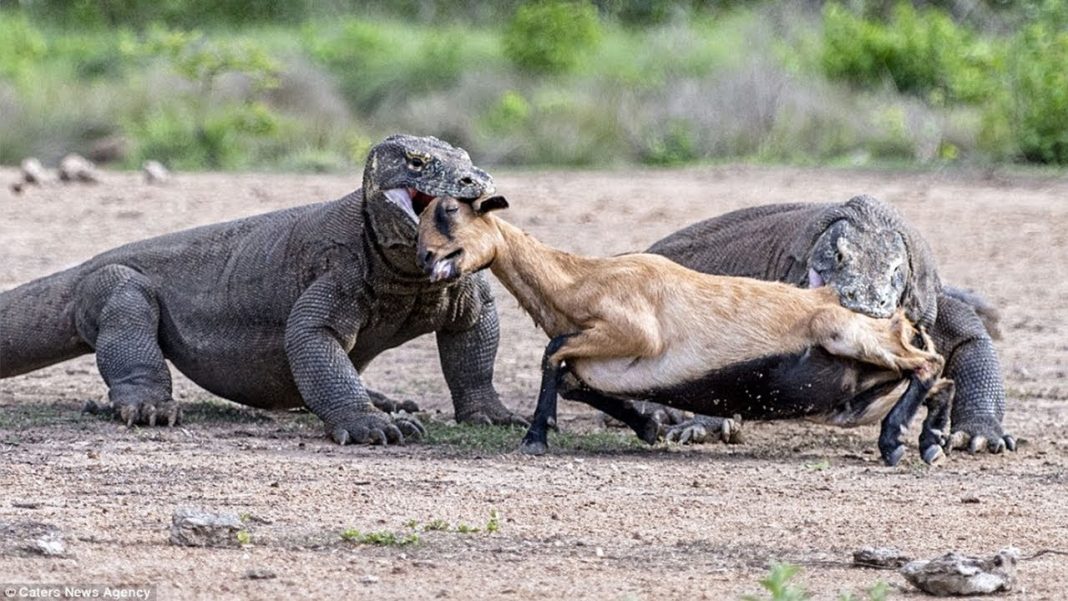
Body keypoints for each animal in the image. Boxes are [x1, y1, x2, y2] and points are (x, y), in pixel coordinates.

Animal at [416, 197, 952, 465]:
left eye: (450, 212)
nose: (425, 257)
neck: (578, 281)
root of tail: (901, 323)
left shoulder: (634, 332)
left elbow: (553, 352)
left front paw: (535, 436)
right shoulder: (602, 361)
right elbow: (569, 376)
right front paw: (648, 425)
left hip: (848, 335)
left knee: (930, 364)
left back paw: (895, 444)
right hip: (858, 394)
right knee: (938, 381)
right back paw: (930, 442)